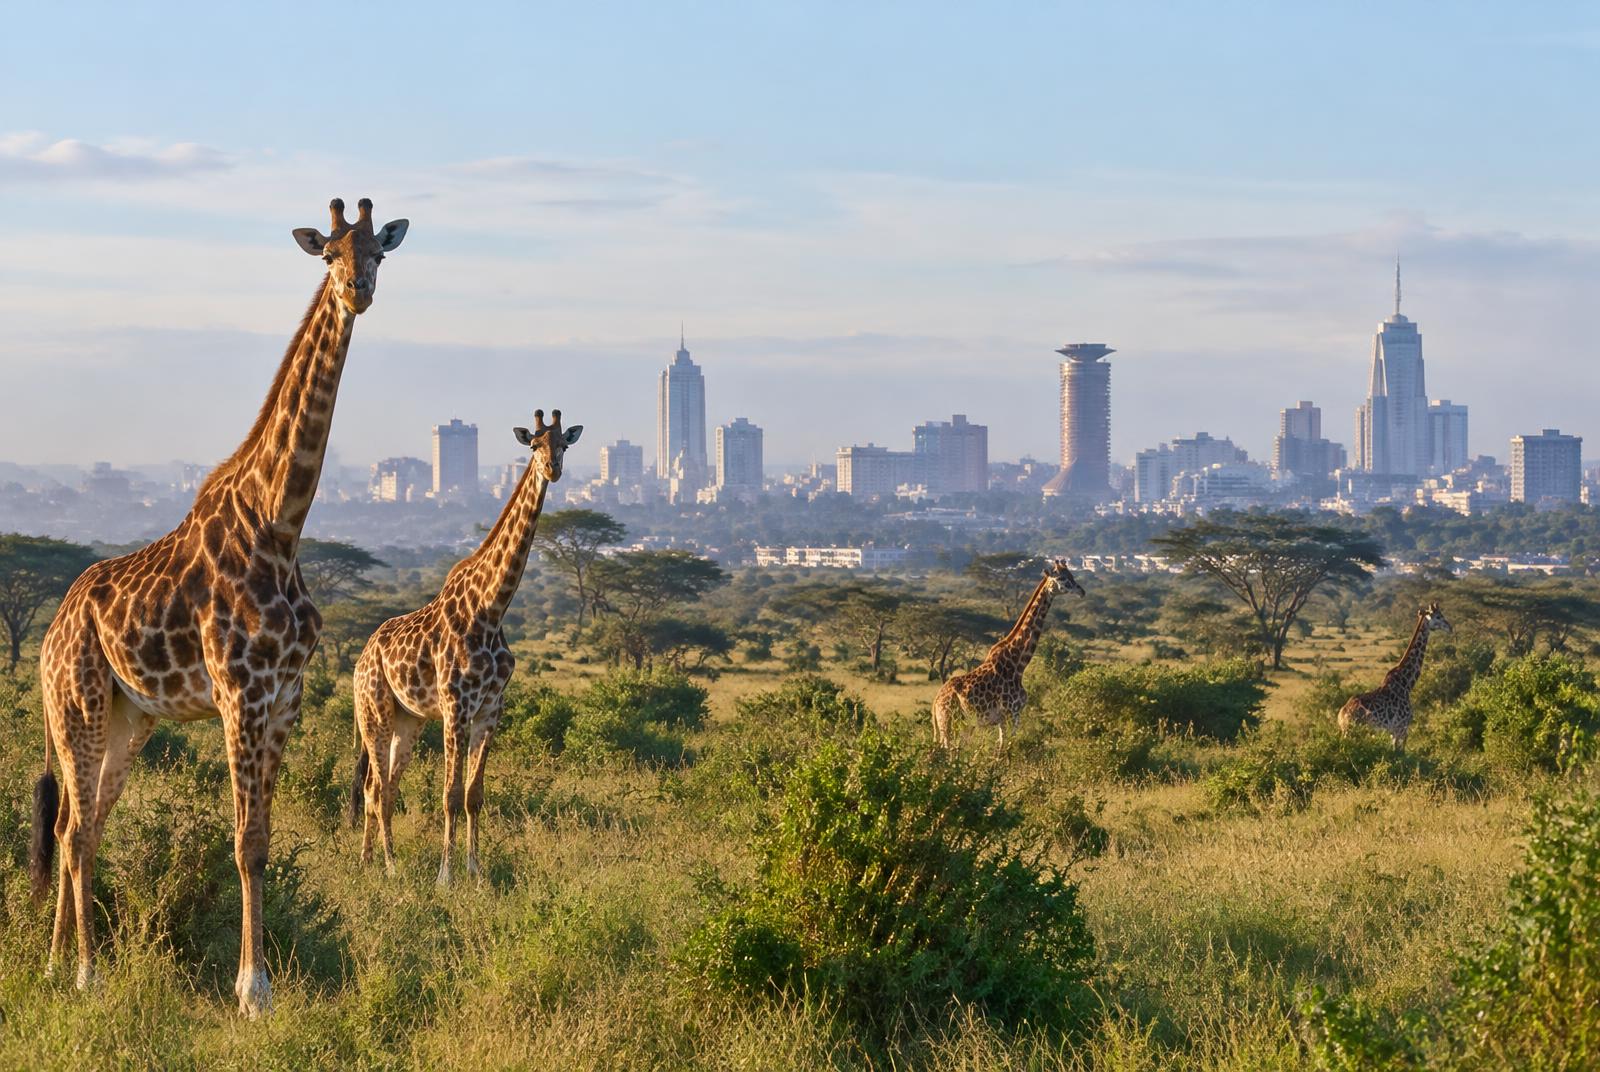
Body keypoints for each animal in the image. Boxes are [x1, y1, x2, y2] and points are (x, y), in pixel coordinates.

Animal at [28, 198, 408, 1017]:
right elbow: (242, 842)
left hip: (128, 719)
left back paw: (53, 965)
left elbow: (261, 841)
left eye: (378, 254)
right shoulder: (240, 692)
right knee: (73, 832)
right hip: (78, 704)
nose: (357, 291)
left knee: (82, 822)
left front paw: (259, 982)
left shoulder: (285, 696)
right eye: (328, 252)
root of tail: (47, 635)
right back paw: (85, 972)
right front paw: (251, 989)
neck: (281, 520)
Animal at [350, 408, 582, 883]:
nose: (553, 469)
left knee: (384, 788)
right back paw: (389, 866)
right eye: (534, 444)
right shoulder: (456, 706)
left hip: (408, 721)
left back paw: (371, 861)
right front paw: (446, 877)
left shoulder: (491, 708)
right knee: (376, 787)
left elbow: (474, 795)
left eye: (564, 444)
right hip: (374, 712)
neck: (491, 609)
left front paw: (476, 871)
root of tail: (361, 658)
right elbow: (450, 795)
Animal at [932, 558, 1085, 749]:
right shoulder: (1010, 714)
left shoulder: (1009, 717)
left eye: (1072, 574)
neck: (1018, 663)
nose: (1081, 591)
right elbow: (1005, 749)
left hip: (961, 726)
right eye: (1062, 578)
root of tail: (935, 704)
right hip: (948, 724)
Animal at [1337, 602, 1452, 748]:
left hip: (1347, 732)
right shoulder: (1401, 728)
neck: (1406, 683)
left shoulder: (1394, 731)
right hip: (1353, 732)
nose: (1450, 628)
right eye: (1438, 616)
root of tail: (1342, 716)